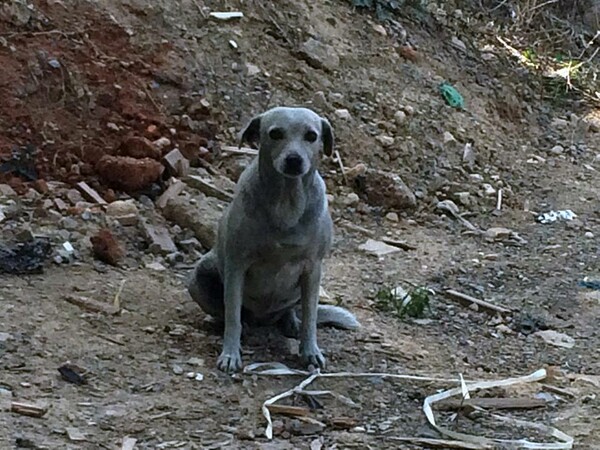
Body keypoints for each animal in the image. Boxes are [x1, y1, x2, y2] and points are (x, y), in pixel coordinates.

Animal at [188, 105, 358, 372]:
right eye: (275, 133)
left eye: (311, 136)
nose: (294, 160)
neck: (286, 202)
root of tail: (264, 319)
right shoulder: (237, 267)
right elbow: (233, 316)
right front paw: (230, 354)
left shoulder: (313, 269)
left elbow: (310, 317)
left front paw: (310, 351)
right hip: (198, 276)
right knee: (227, 313)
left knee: (293, 312)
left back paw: (291, 322)